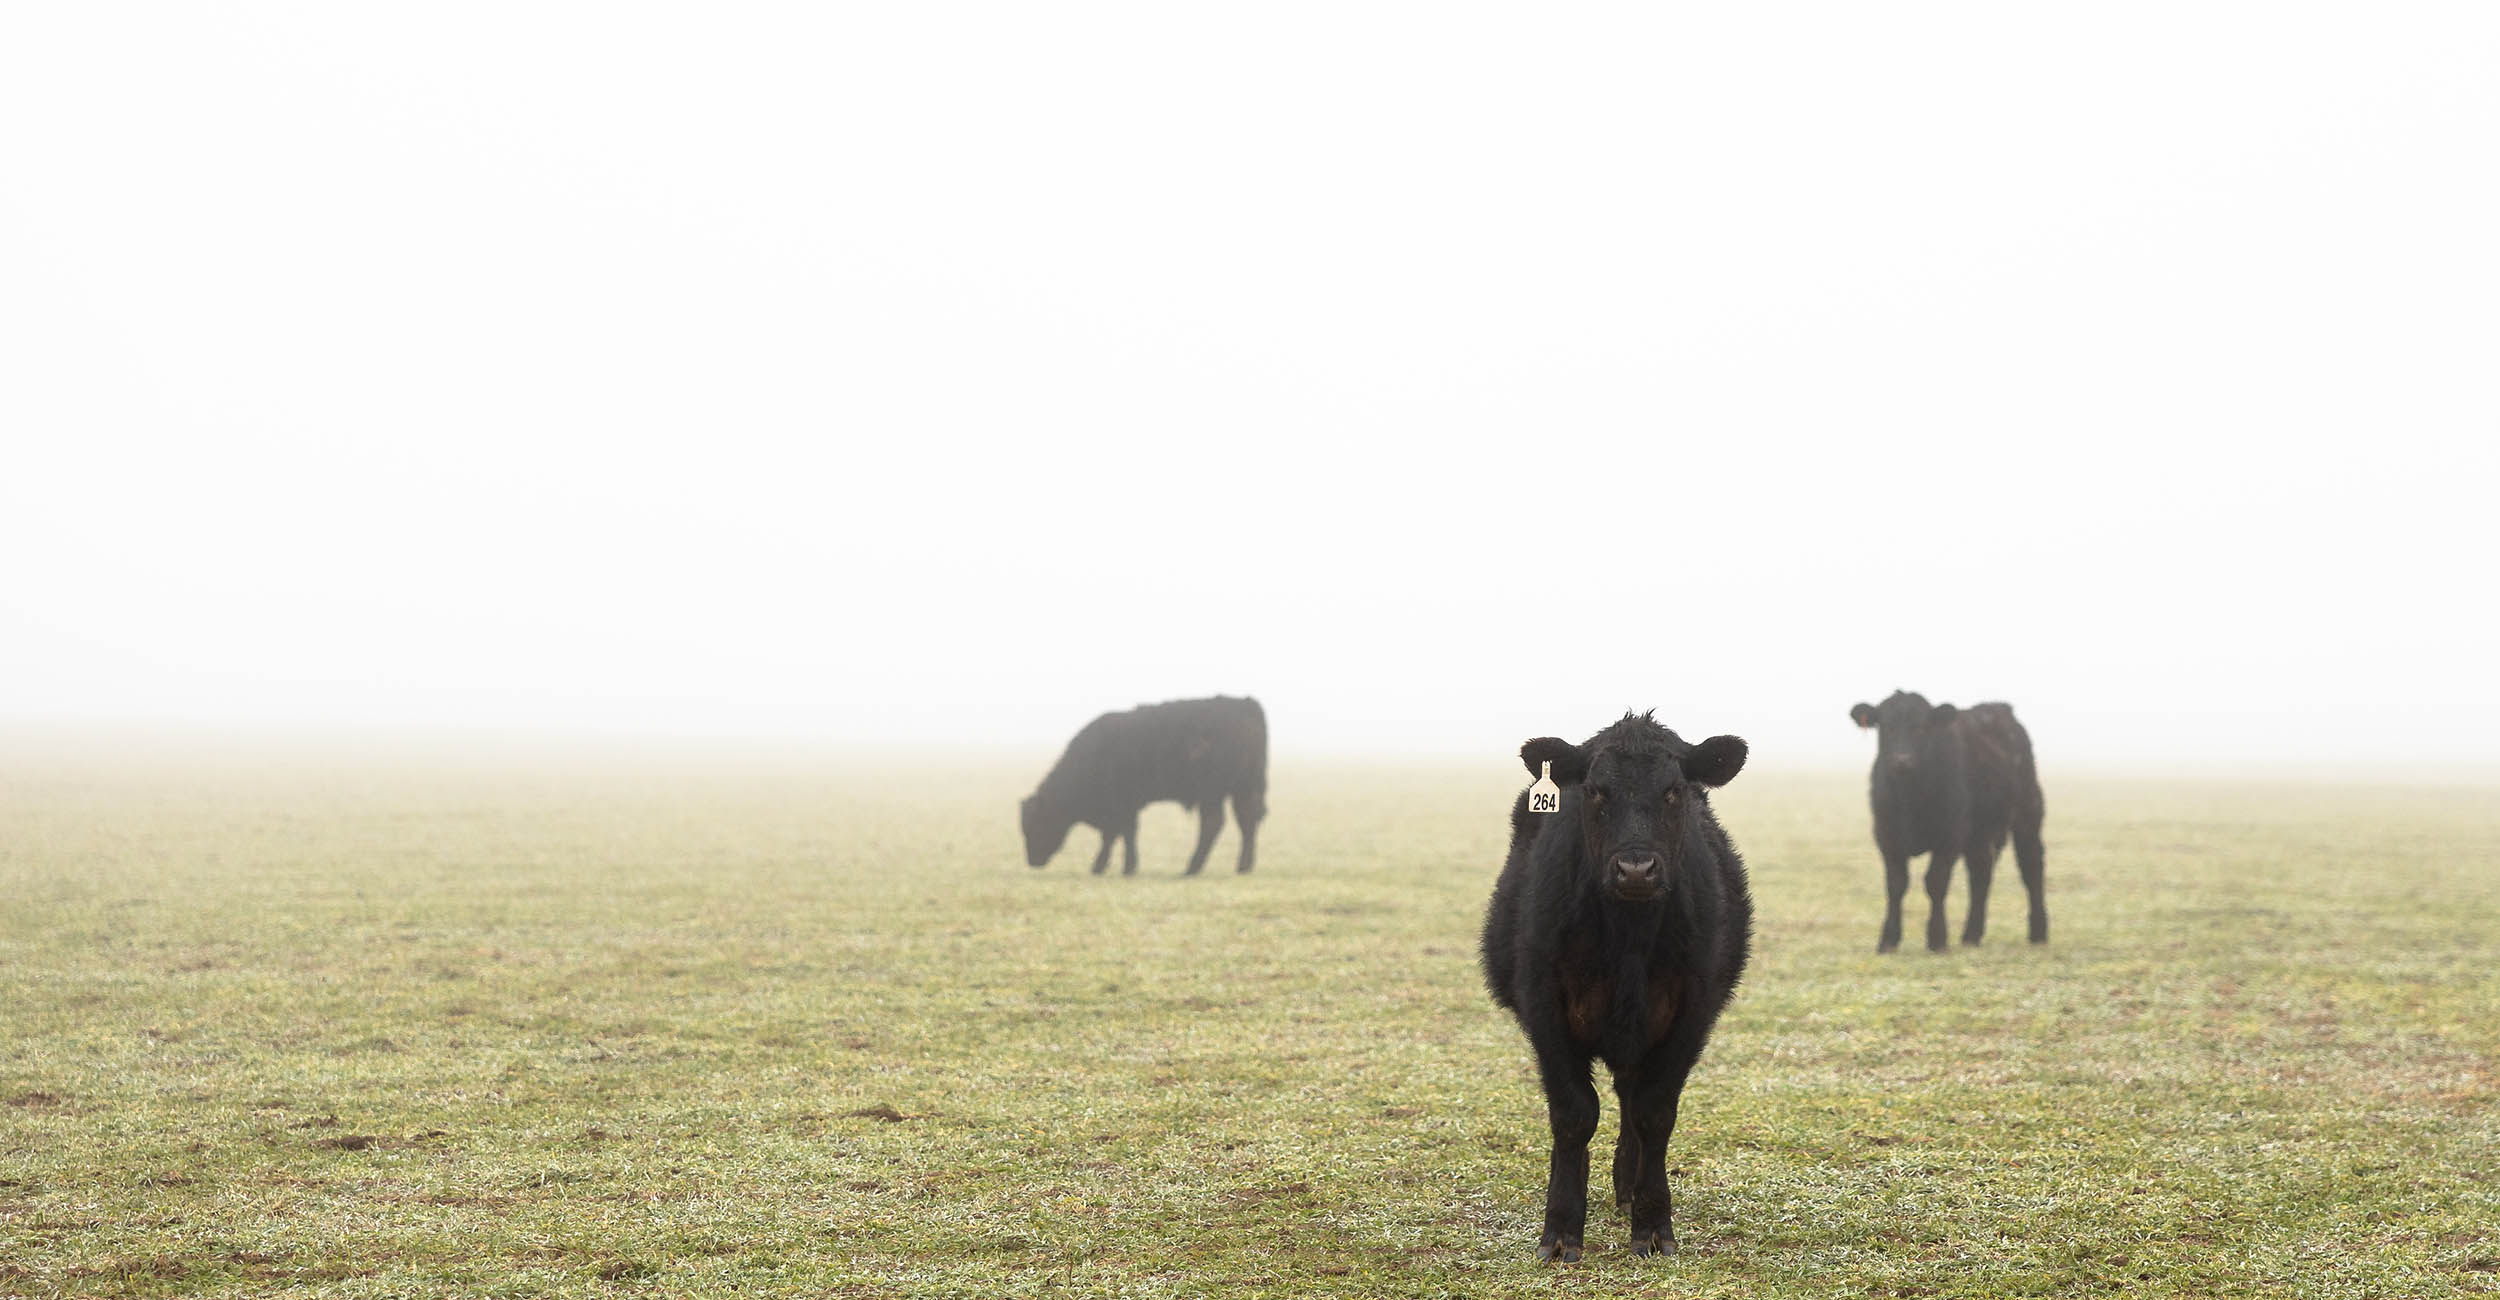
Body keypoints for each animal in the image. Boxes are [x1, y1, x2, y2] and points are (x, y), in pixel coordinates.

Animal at [1019, 696, 1267, 876]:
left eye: (1036, 824)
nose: (1032, 860)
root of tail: (1245, 703)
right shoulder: (1120, 809)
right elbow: (1116, 835)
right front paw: (1106, 866)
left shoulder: (1123, 805)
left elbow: (1122, 834)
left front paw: (1122, 867)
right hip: (1240, 791)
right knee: (1246, 822)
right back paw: (1242, 867)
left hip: (1213, 793)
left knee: (1214, 824)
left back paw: (1192, 868)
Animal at [1479, 712, 1753, 1261]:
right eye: (1595, 791)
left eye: (1674, 791)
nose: (1636, 869)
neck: (1630, 939)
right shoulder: (1544, 1007)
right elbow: (1573, 1114)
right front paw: (1561, 1228)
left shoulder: (1691, 1012)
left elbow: (1653, 1113)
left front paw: (1653, 1224)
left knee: (1630, 1096)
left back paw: (1627, 1187)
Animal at [1848, 691, 2047, 953]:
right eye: (1886, 726)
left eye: (1922, 727)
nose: (1902, 760)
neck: (1909, 799)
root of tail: (1999, 708)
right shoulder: (1887, 837)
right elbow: (1896, 885)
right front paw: (1888, 940)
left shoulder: (1950, 837)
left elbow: (1935, 881)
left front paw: (1937, 939)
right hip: (1980, 833)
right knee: (1980, 874)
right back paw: (1971, 935)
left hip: (2027, 812)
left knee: (2031, 867)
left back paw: (2038, 933)